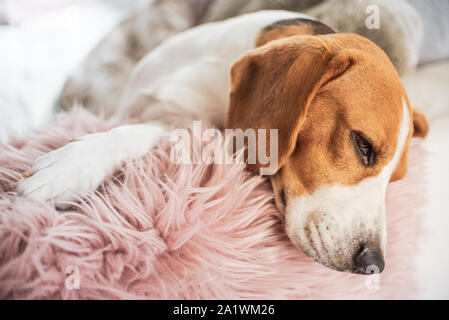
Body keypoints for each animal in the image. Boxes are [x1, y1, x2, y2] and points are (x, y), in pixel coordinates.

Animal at [17, 11, 428, 274]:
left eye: (394, 182)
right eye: (363, 145)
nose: (374, 264)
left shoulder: (184, 128)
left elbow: (137, 133)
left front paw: (72, 165)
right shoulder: (130, 107)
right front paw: (70, 165)